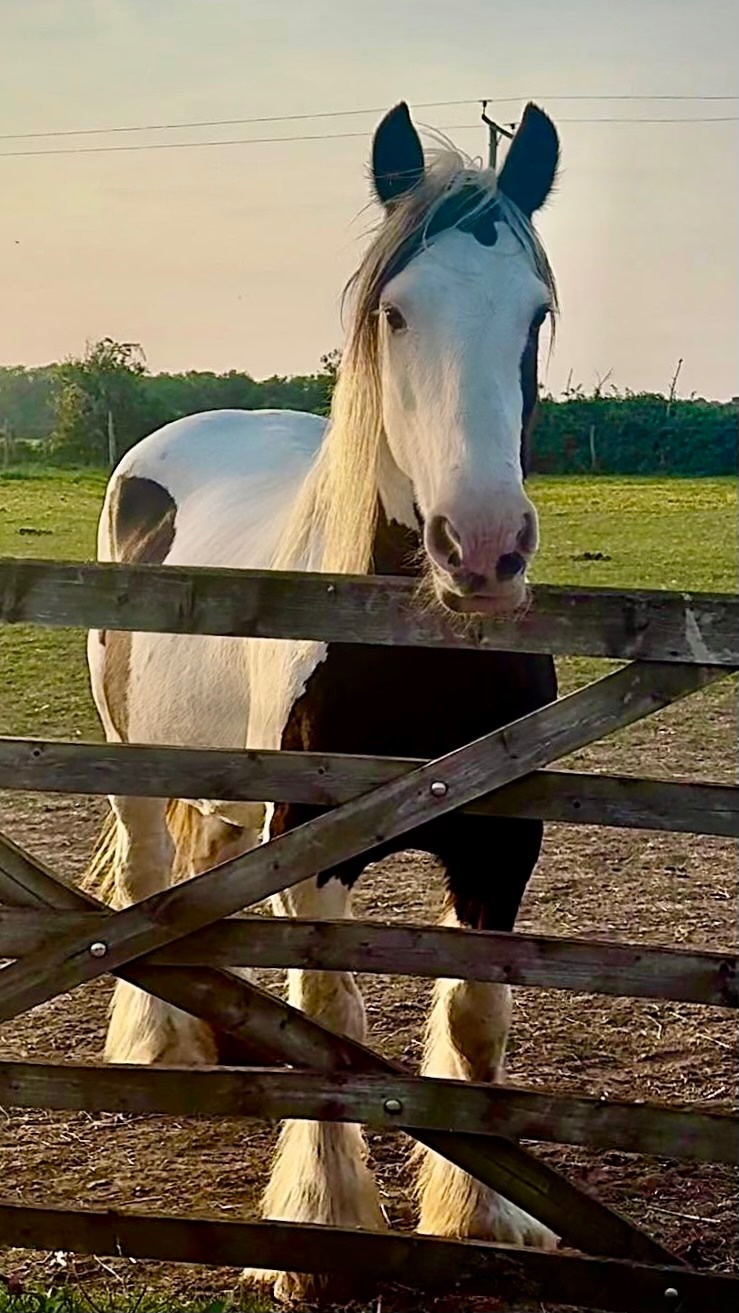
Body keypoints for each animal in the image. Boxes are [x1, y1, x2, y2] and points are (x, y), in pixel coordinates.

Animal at [86, 100, 561, 1303]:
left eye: (534, 313)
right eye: (395, 310)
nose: (481, 548)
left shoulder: (502, 842)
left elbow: (474, 1019)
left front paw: (483, 1213)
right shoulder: (310, 837)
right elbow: (335, 1019)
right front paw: (324, 1226)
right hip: (130, 757)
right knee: (152, 876)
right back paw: (165, 1045)